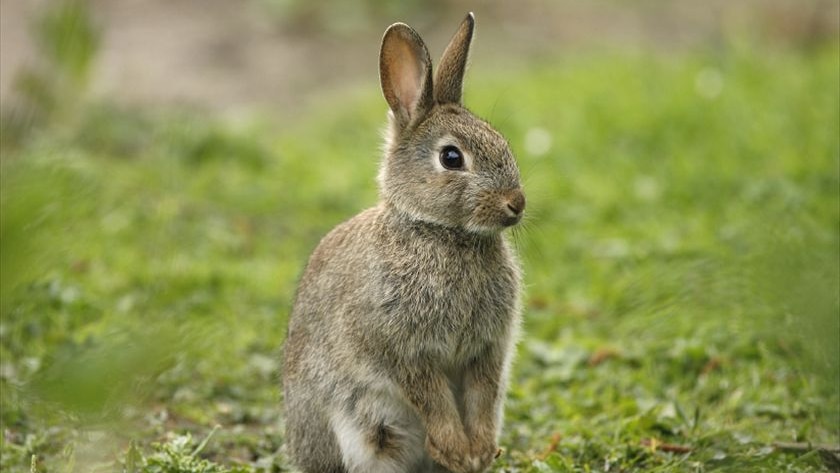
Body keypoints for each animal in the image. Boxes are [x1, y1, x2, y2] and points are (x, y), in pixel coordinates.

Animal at [286, 12, 528, 470]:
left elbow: (483, 395)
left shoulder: (487, 350)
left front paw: (479, 450)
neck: (442, 233)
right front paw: (457, 449)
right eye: (451, 158)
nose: (516, 204)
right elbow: (431, 398)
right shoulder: (401, 350)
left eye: (502, 142)